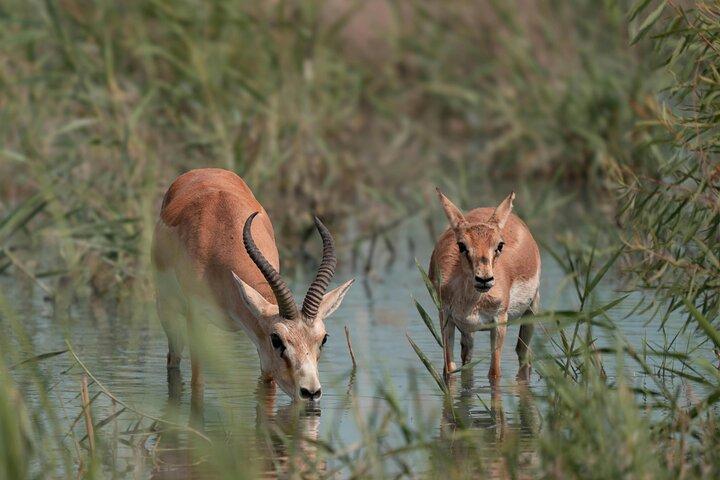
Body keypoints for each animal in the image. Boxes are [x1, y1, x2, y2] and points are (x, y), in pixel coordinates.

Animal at [152, 168, 354, 402]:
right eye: (277, 339)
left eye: (324, 339)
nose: (310, 392)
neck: (220, 231)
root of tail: (202, 170)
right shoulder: (197, 321)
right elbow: (198, 384)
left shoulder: (261, 346)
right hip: (167, 310)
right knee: (173, 359)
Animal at [429, 189, 540, 382]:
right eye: (461, 245)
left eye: (500, 245)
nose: (484, 279)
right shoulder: (446, 318)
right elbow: (449, 370)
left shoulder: (499, 322)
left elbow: (494, 373)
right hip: (468, 331)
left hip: (532, 309)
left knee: (523, 353)